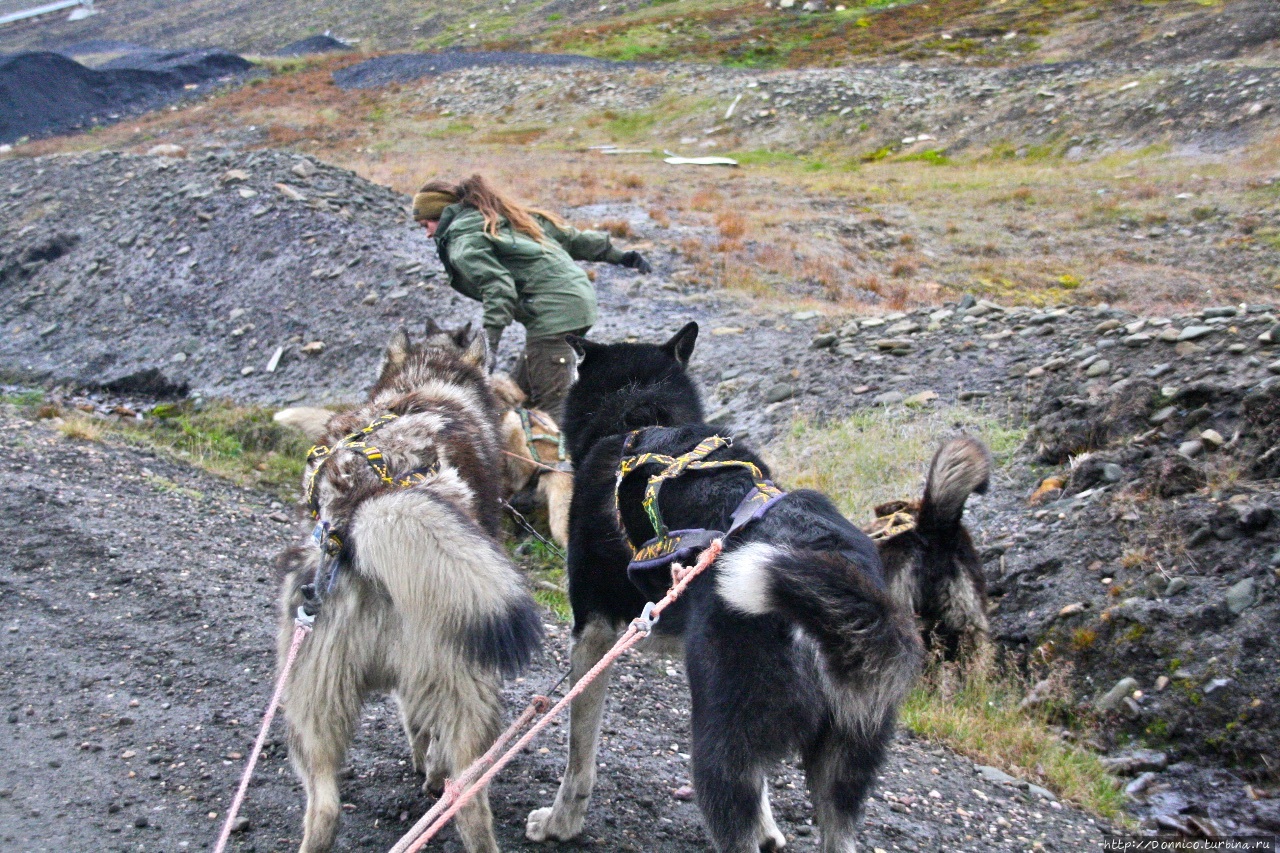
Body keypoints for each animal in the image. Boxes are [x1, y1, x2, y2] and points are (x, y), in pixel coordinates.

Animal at [275, 322, 540, 850]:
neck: (426, 382)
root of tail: (365, 513)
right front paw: (427, 767)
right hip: (466, 686)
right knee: (464, 794)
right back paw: (444, 787)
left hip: (310, 709)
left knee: (325, 806)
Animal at [524, 322, 926, 850]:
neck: (639, 413)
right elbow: (762, 796)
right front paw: (771, 830)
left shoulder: (594, 634)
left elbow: (579, 757)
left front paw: (559, 823)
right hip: (840, 770)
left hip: (717, 747)